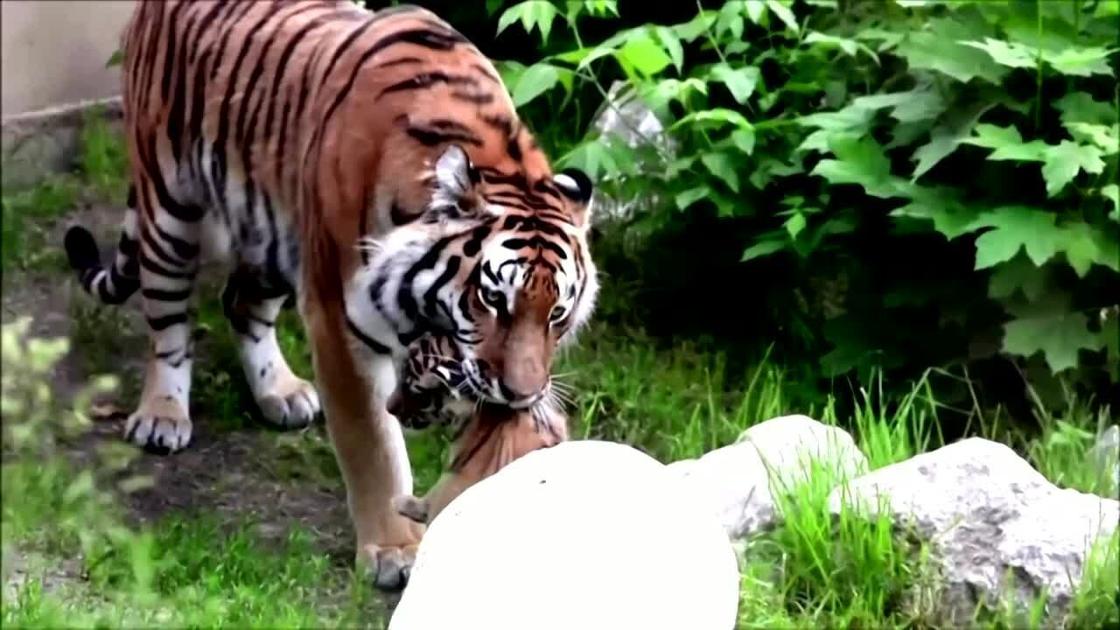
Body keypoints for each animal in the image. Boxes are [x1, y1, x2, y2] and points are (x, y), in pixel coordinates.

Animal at [63, 0, 595, 587]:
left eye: (557, 315)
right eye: (494, 300)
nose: (523, 395)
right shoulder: (342, 323)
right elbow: (374, 443)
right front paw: (394, 551)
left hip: (277, 232)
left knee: (240, 303)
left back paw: (281, 393)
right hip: (169, 207)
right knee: (167, 325)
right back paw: (162, 415)